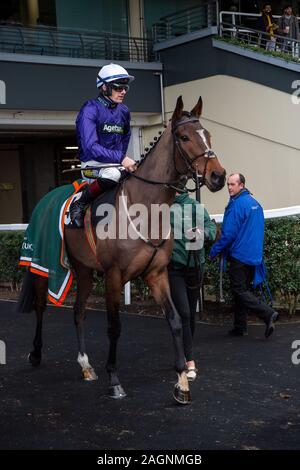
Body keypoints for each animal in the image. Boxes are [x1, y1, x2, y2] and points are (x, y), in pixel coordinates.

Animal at [17, 95, 225, 404]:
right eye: (185, 137)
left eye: (208, 134)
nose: (218, 176)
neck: (144, 209)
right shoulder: (114, 276)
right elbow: (114, 328)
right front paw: (114, 380)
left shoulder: (157, 274)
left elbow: (175, 320)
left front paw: (181, 383)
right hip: (42, 265)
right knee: (41, 306)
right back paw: (36, 353)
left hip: (84, 270)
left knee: (78, 311)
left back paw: (85, 365)